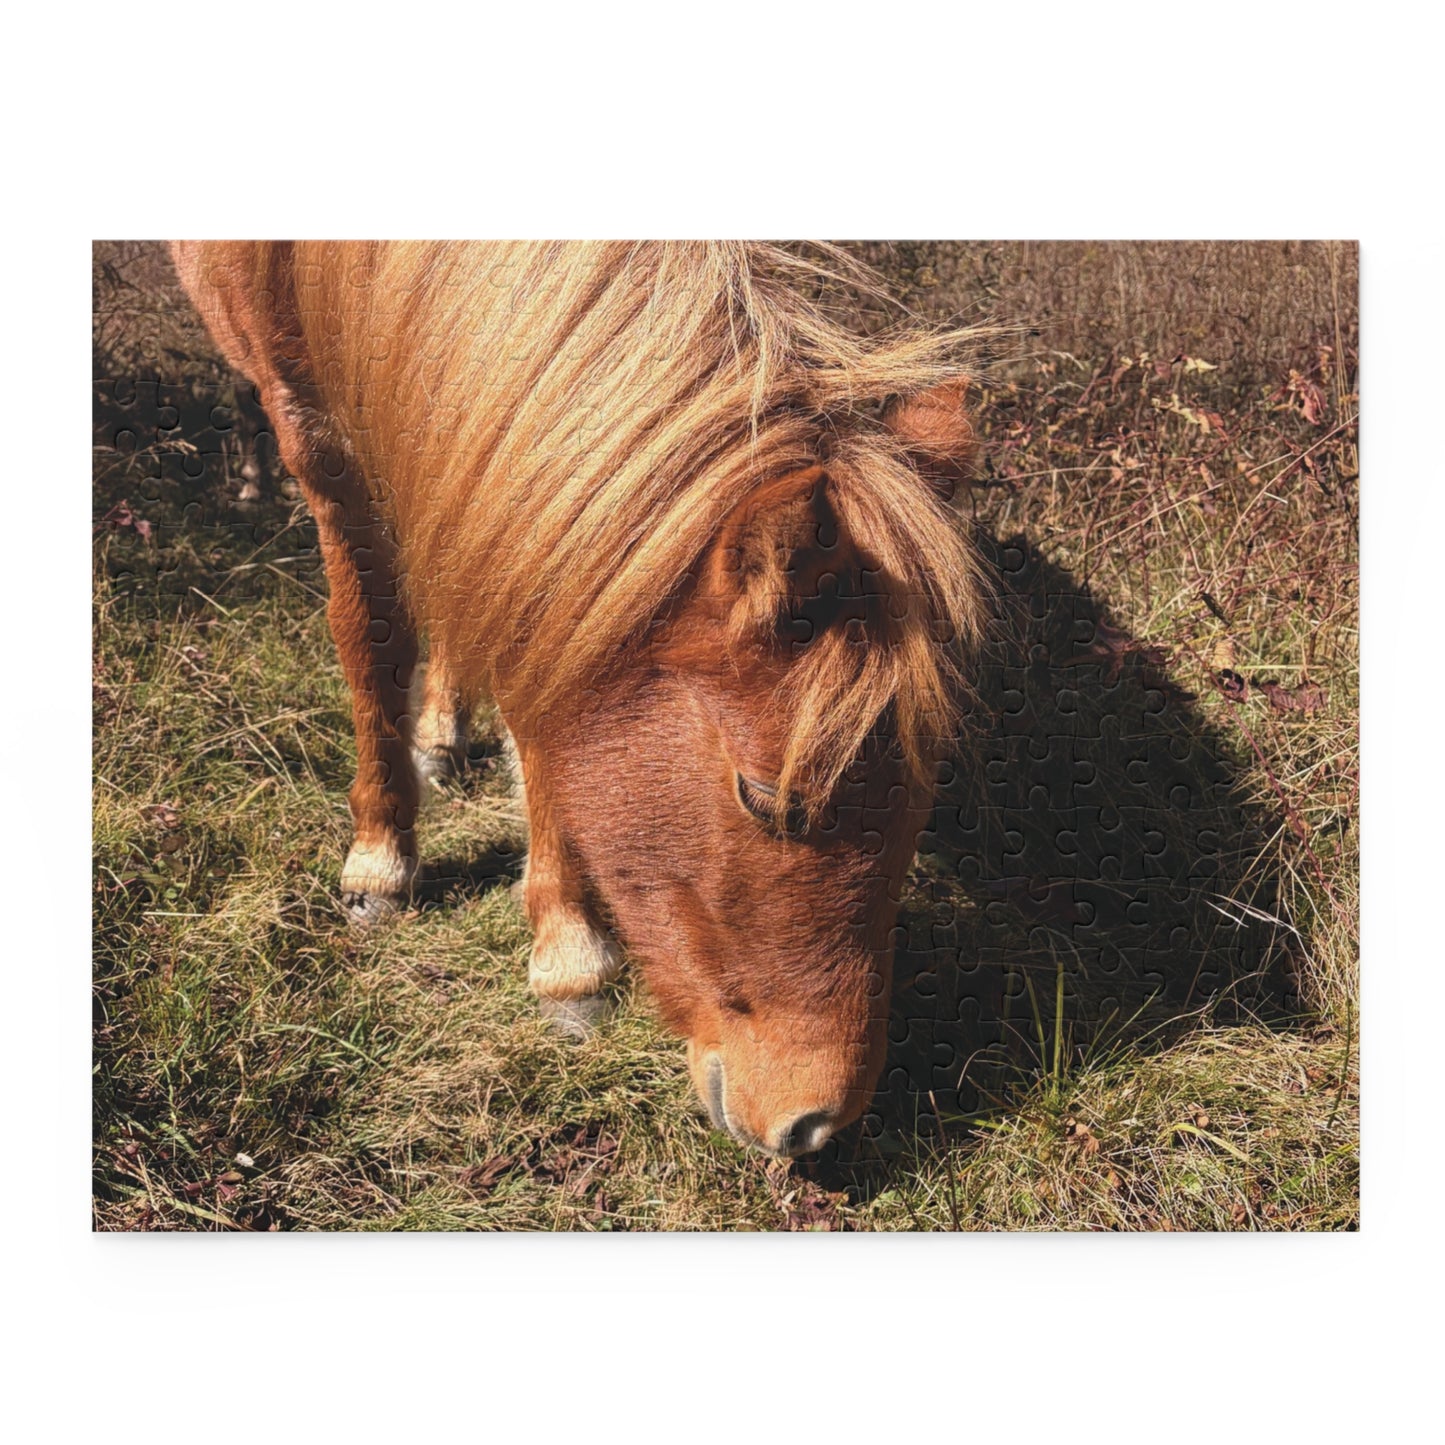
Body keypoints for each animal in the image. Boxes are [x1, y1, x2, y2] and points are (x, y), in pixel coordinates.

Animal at [172, 241, 986, 1158]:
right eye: (765, 798)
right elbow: (369, 637)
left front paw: (564, 948)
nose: (815, 1123)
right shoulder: (311, 430)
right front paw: (382, 858)